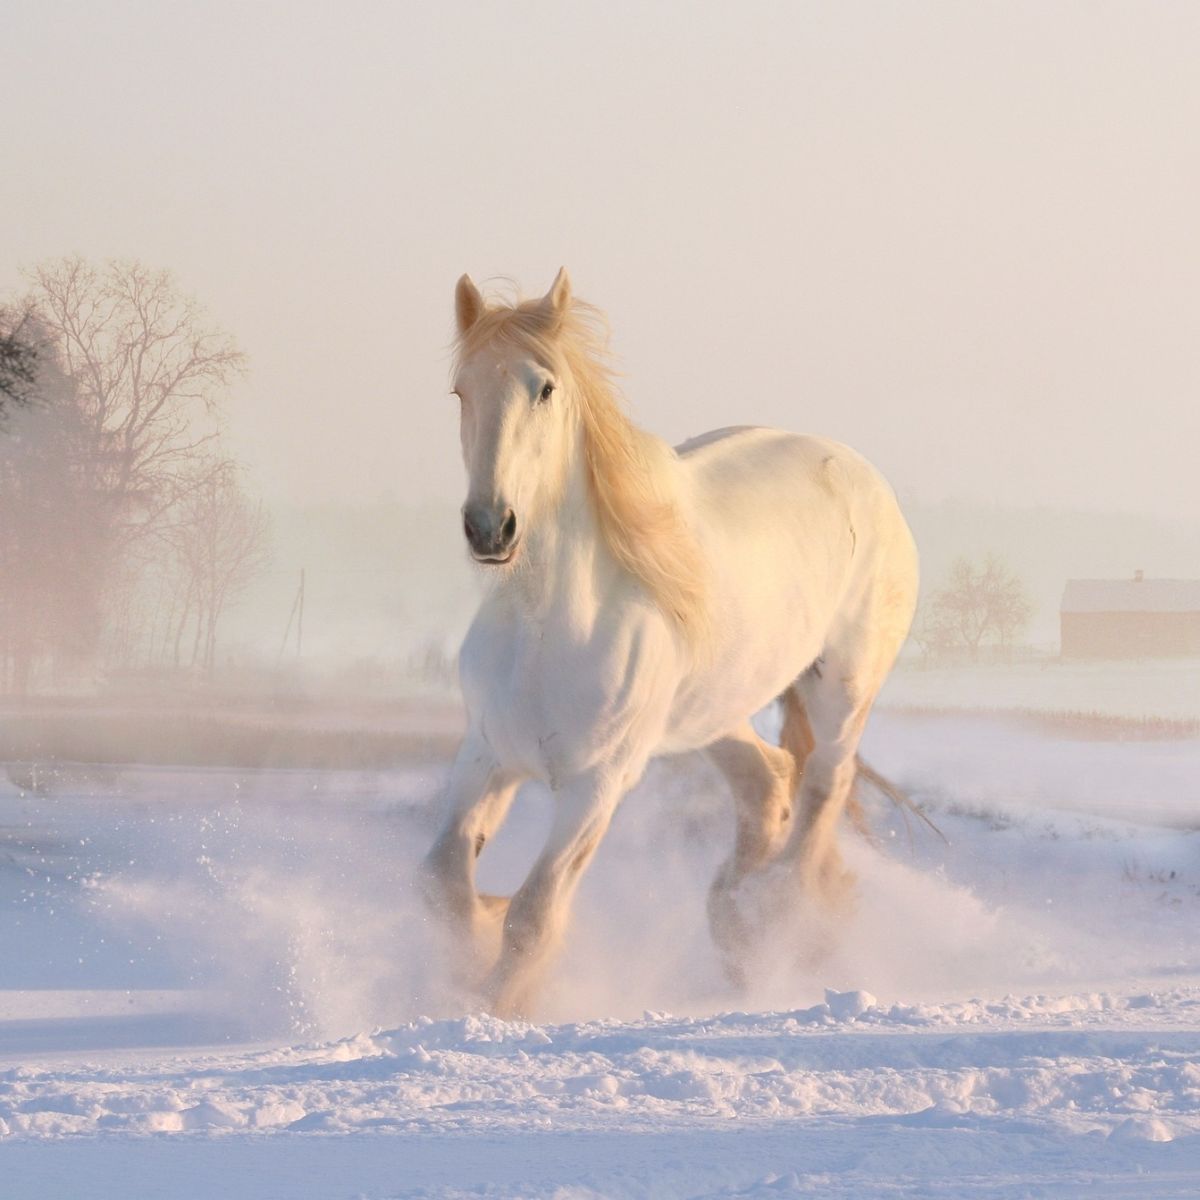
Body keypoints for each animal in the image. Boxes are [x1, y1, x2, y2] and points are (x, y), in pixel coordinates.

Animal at [422, 270, 916, 1012]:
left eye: (545, 388)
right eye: (461, 390)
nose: (490, 527)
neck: (548, 629)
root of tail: (864, 476)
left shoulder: (597, 784)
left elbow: (533, 916)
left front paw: (498, 1004)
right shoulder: (486, 755)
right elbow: (445, 885)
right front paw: (472, 954)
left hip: (843, 689)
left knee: (824, 786)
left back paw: (776, 916)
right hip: (714, 711)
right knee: (769, 781)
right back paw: (736, 922)